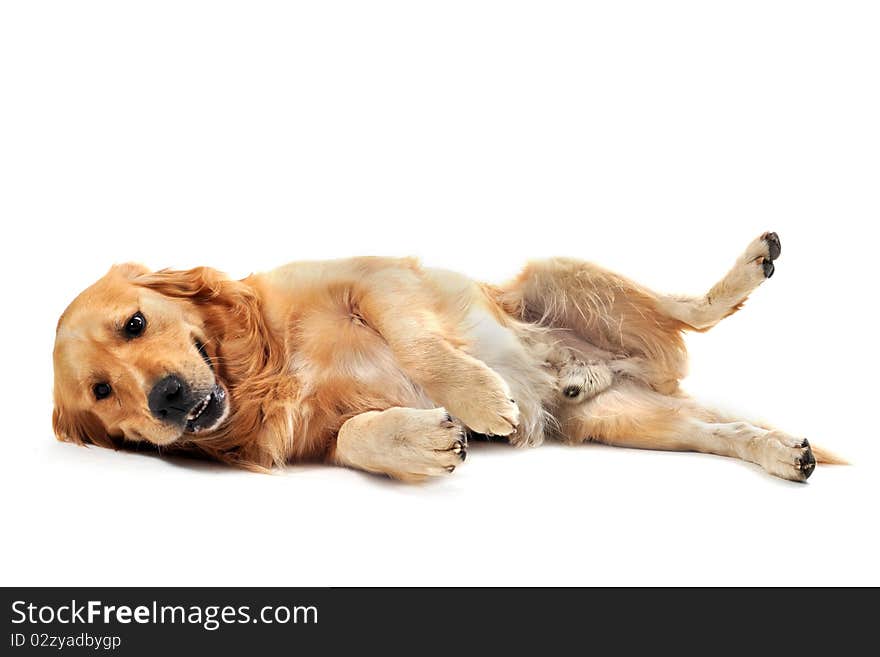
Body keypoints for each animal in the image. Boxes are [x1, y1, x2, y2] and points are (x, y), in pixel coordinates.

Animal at [51, 233, 844, 480]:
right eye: (102, 392)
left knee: (691, 310)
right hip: (629, 419)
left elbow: (421, 346)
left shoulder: (374, 278)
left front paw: (482, 400)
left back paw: (751, 264)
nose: (166, 399)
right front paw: (424, 441)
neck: (261, 365)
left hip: (560, 271)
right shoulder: (318, 434)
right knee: (722, 430)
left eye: (134, 323)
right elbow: (355, 436)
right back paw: (784, 453)